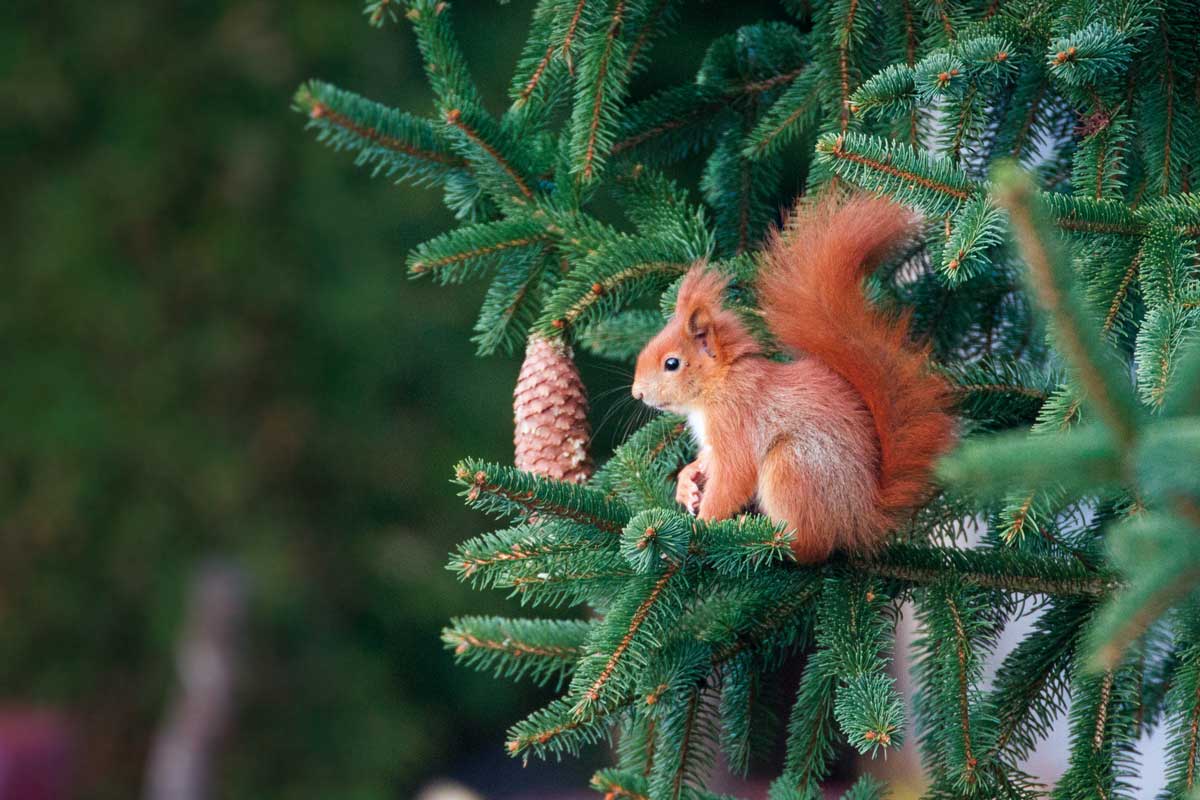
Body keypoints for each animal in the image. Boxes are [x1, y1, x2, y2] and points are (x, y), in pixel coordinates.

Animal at [628, 194, 955, 563]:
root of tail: (860, 516)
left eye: (672, 363)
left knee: (813, 548)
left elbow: (733, 478)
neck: (721, 384)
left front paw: (703, 527)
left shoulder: (735, 423)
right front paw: (686, 484)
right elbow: (705, 463)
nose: (637, 393)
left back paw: (764, 537)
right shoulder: (714, 442)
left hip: (792, 466)